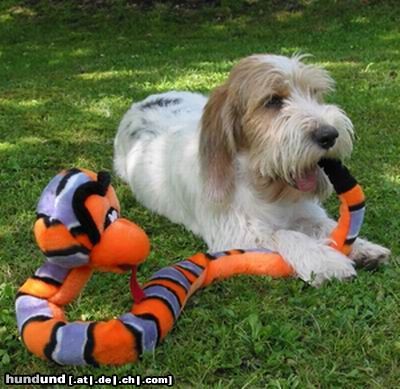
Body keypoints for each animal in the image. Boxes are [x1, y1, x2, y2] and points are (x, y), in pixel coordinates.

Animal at [113, 53, 390, 284]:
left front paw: (364, 247)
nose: (329, 135)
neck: (264, 184)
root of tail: (143, 101)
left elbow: (328, 226)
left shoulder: (306, 213)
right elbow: (285, 234)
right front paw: (325, 260)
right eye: (273, 101)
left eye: (314, 93)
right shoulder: (234, 234)